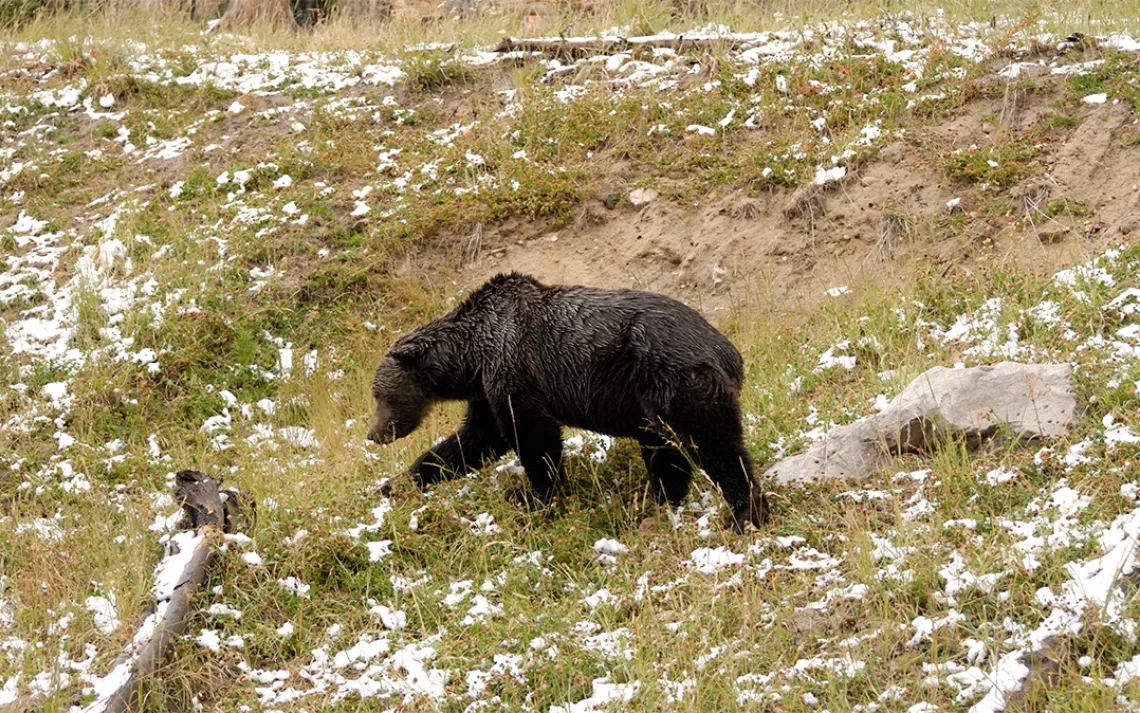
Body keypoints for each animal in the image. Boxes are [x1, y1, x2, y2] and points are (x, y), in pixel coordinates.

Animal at [367, 272, 768, 532]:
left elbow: (533, 438)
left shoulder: (514, 369)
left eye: (379, 395)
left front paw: (539, 501)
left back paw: (744, 515)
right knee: (665, 453)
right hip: (653, 405)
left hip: (676, 382)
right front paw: (396, 483)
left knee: (716, 447)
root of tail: (728, 350)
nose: (374, 434)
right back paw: (655, 503)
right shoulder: (487, 389)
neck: (470, 358)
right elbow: (474, 441)